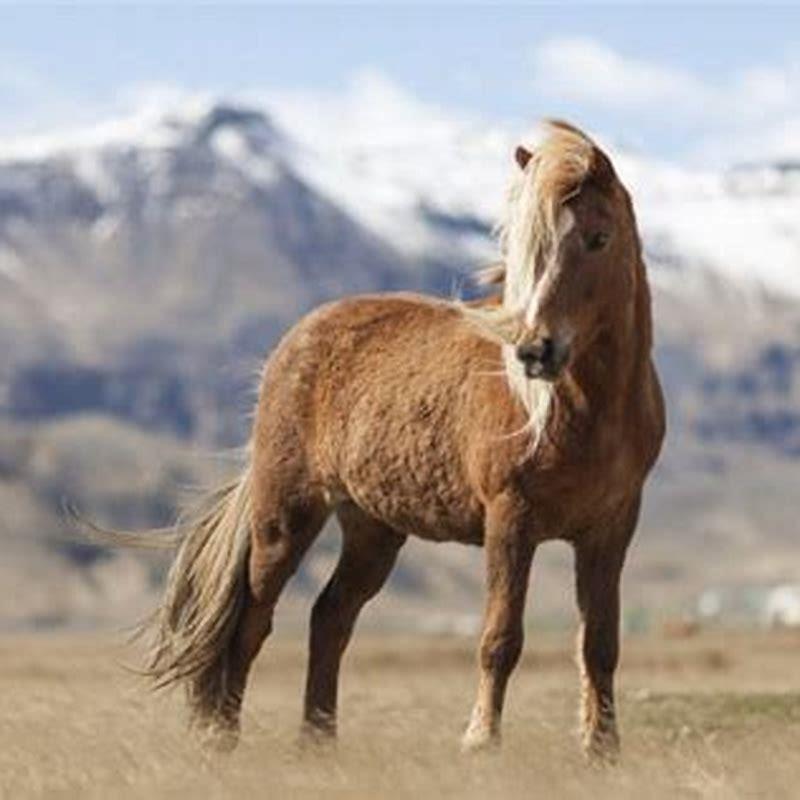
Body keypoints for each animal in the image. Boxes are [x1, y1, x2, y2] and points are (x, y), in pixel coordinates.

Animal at [95, 120, 664, 760]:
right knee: (253, 619)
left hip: (373, 528)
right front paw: (480, 743)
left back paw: (318, 740)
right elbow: (501, 638)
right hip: (286, 516)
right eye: (527, 250)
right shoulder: (510, 521)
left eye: (597, 238)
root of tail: (295, 340)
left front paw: (602, 751)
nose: (535, 351)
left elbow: (600, 643)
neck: (586, 411)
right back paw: (223, 737)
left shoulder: (611, 528)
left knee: (330, 618)